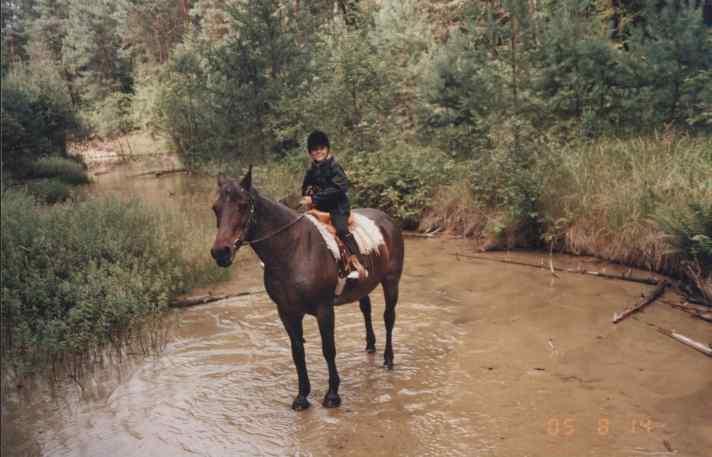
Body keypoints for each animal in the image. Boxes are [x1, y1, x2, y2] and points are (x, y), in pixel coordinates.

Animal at [209, 167, 404, 410]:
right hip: (364, 286)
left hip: (391, 281)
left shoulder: (324, 309)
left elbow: (328, 349)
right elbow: (297, 352)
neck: (293, 250)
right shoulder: (287, 312)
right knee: (366, 311)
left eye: (243, 205)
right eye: (215, 208)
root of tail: (386, 219)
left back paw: (388, 359)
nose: (221, 252)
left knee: (389, 317)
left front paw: (332, 395)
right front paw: (302, 396)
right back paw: (370, 346)